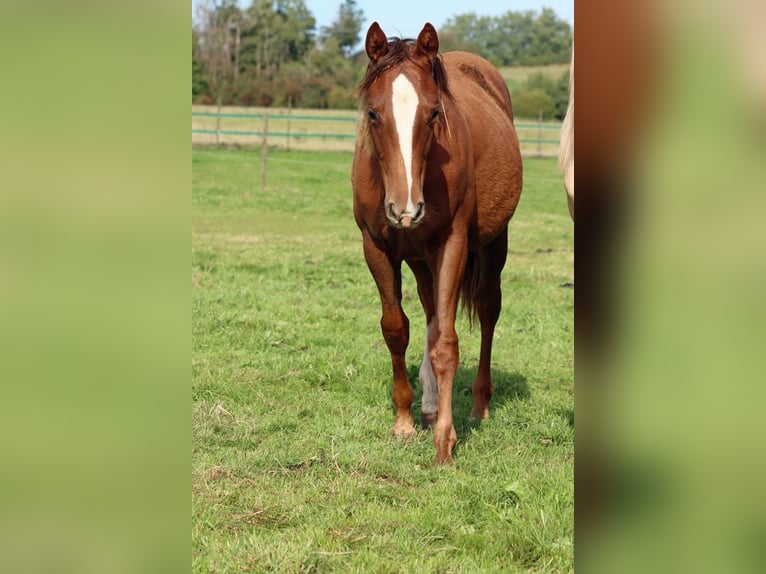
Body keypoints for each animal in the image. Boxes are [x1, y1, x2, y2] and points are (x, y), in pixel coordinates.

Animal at [351, 22, 523, 465]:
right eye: (373, 113)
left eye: (434, 113)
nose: (406, 208)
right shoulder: (376, 247)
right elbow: (397, 330)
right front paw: (404, 422)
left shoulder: (452, 244)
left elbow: (446, 342)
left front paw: (445, 440)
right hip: (419, 259)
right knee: (430, 314)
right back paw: (427, 407)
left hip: (492, 246)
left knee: (487, 312)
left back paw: (478, 405)